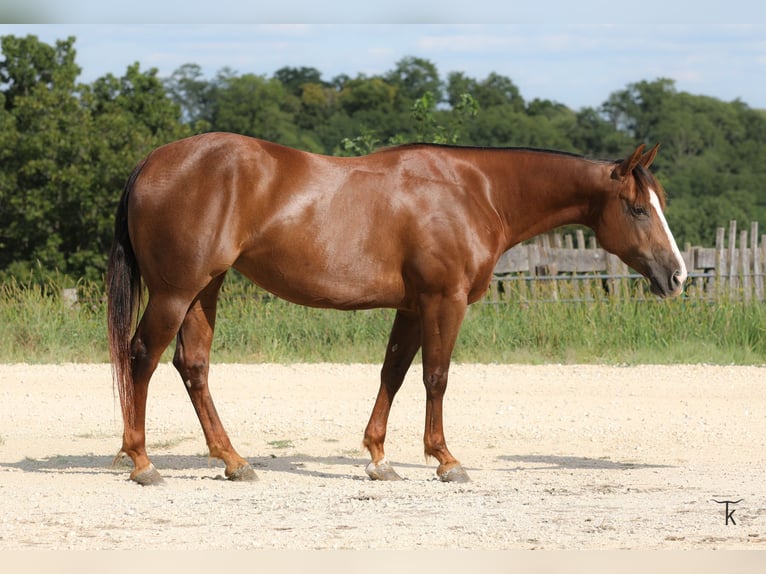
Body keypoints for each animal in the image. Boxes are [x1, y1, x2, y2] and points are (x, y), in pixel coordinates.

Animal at [107, 133, 687, 485]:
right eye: (638, 208)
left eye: (659, 204)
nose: (677, 276)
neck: (475, 191)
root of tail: (151, 162)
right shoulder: (443, 301)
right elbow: (436, 377)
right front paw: (446, 460)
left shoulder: (411, 308)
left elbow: (394, 374)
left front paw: (379, 458)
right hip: (176, 292)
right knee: (142, 357)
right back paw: (142, 462)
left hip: (205, 289)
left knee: (193, 365)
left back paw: (233, 461)